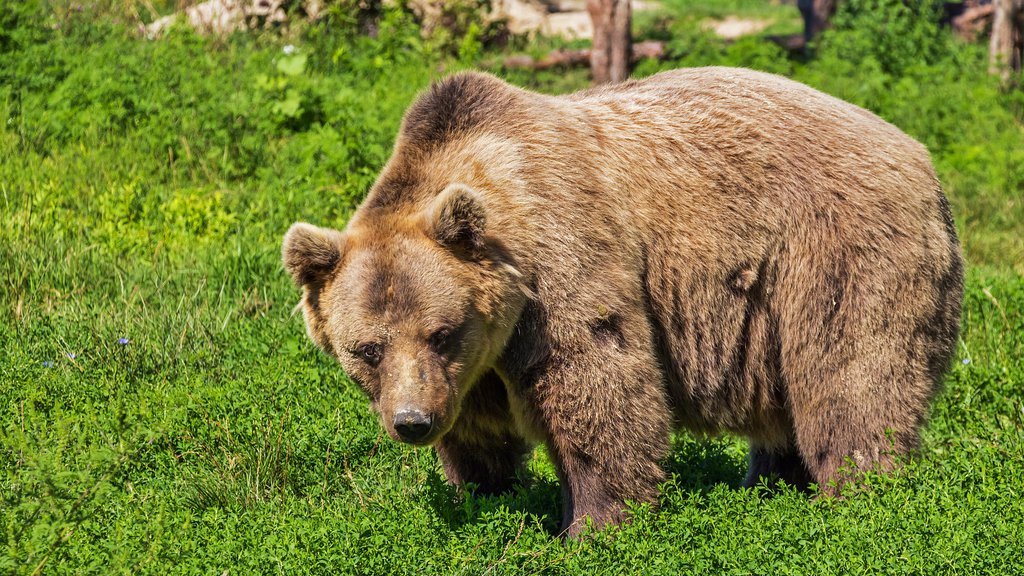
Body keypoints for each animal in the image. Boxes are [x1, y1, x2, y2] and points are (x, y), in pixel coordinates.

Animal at [284, 69, 962, 537]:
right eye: (367, 349)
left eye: (440, 331)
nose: (412, 422)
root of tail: (921, 157)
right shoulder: (474, 363)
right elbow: (478, 431)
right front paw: (485, 494)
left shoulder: (561, 263)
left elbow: (598, 384)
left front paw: (592, 525)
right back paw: (769, 485)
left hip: (836, 252)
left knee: (851, 378)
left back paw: (858, 494)